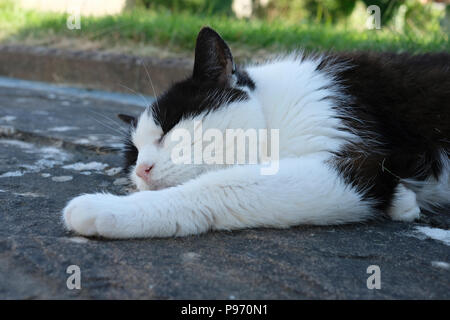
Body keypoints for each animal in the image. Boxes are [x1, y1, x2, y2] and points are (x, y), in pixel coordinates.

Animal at [61, 26, 448, 238]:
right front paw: (403, 202)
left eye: (168, 128)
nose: (142, 169)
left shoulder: (355, 161)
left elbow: (222, 187)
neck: (274, 113)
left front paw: (106, 208)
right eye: (133, 155)